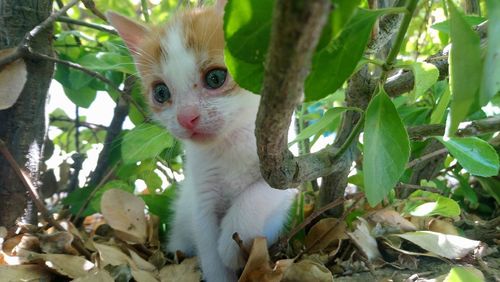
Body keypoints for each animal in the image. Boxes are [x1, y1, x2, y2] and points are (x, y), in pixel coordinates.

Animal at [107, 1, 294, 280]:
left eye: (215, 78)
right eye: (161, 92)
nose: (186, 117)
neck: (228, 146)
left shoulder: (290, 171)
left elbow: (263, 191)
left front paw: (231, 241)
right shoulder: (201, 198)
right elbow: (208, 247)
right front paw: (221, 263)